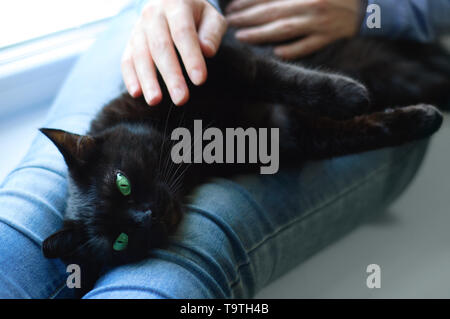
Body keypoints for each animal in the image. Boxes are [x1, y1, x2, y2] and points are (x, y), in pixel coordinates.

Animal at [40, 31, 448, 294]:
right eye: (120, 240)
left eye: (123, 182)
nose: (148, 216)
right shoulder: (289, 134)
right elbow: (359, 132)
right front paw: (419, 120)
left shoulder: (215, 61)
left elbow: (280, 77)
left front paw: (349, 95)